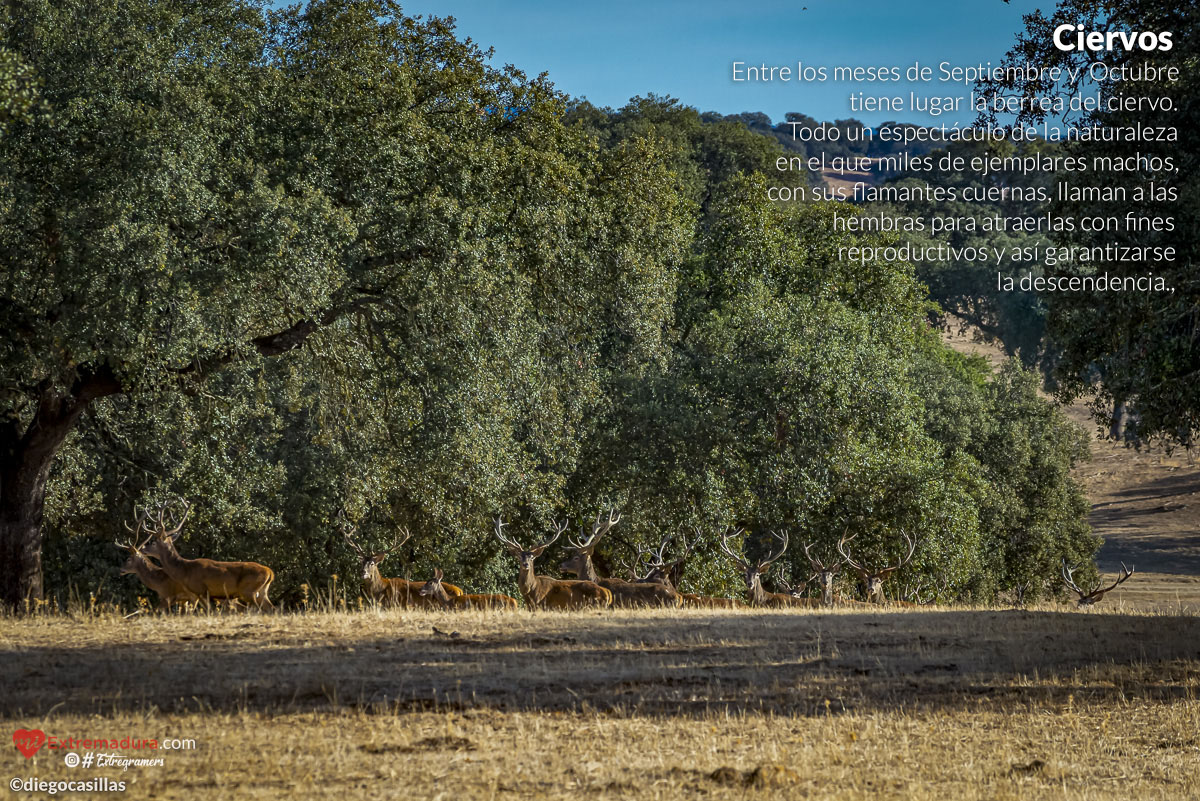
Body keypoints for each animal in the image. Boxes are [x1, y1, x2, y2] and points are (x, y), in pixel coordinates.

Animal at [138, 503, 276, 609]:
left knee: (258, 609)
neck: (185, 571)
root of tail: (270, 572)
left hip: (248, 590)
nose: (142, 549)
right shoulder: (197, 594)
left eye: (154, 542)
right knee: (271, 608)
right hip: (262, 592)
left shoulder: (202, 590)